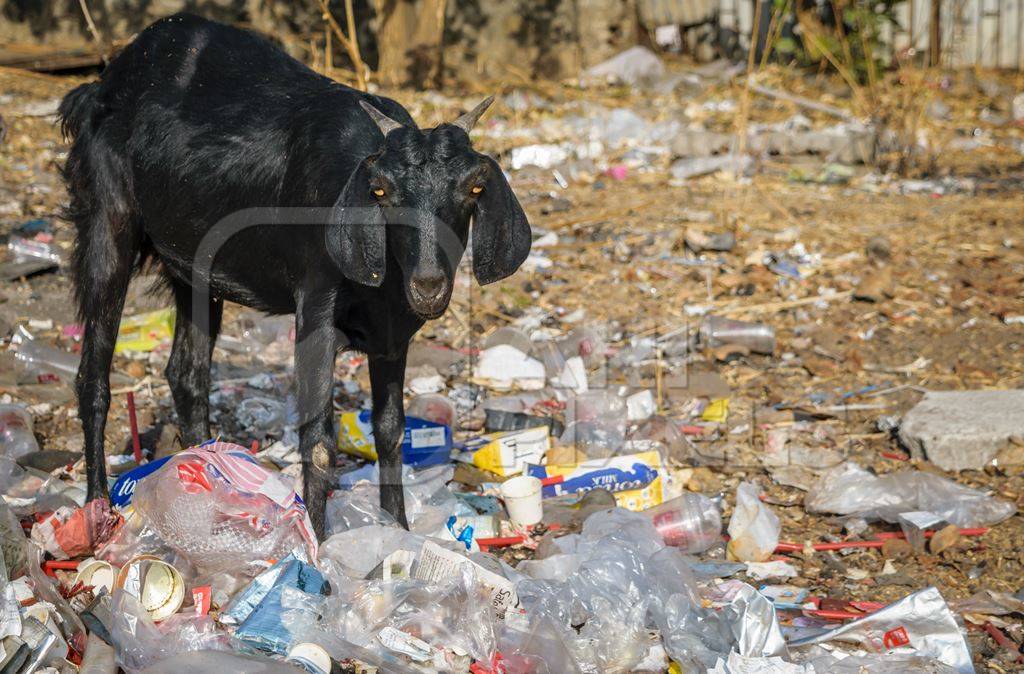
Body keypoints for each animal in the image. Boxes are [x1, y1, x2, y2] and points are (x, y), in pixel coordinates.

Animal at [59, 13, 532, 536]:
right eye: (381, 190)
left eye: (473, 189)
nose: (428, 284)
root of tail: (102, 85)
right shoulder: (316, 307)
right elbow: (319, 440)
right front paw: (320, 546)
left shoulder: (392, 334)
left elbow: (390, 431)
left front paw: (398, 531)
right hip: (107, 226)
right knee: (93, 375)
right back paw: (97, 507)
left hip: (194, 267)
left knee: (187, 374)